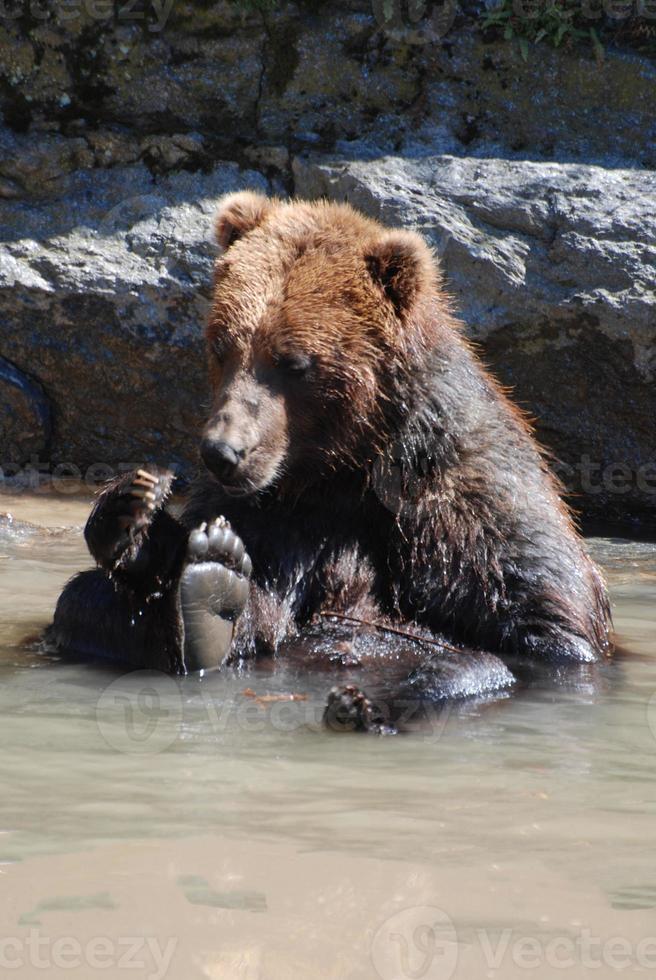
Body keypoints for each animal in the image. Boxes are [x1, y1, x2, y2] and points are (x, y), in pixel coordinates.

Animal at [48, 189, 612, 728]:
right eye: (221, 345)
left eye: (293, 361)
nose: (222, 452)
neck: (349, 462)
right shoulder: (281, 510)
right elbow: (259, 593)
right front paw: (143, 518)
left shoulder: (466, 494)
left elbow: (543, 627)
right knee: (82, 601)